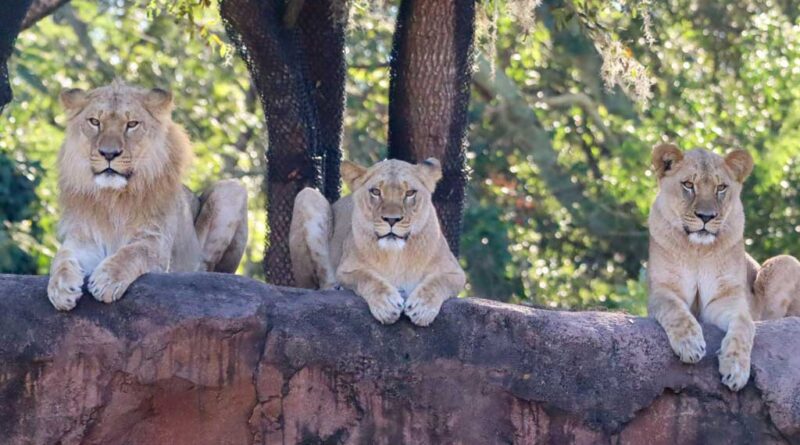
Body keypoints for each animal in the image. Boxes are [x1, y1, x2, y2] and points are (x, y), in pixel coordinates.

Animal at [47, 80, 247, 308]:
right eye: (95, 122)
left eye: (132, 124)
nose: (109, 153)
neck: (113, 198)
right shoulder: (83, 239)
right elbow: (61, 258)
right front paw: (61, 288)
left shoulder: (155, 241)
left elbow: (133, 252)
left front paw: (107, 280)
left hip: (231, 189)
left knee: (208, 267)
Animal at [290, 158, 466, 324]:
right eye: (376, 191)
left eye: (410, 193)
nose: (391, 219)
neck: (396, 254)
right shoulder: (345, 270)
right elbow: (367, 277)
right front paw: (387, 304)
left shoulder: (456, 273)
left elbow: (438, 281)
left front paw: (422, 308)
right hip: (307, 195)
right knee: (321, 284)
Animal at [648, 142, 800, 388]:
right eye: (688, 184)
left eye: (721, 187)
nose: (706, 216)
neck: (697, 250)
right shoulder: (662, 290)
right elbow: (675, 310)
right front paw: (690, 345)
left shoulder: (726, 299)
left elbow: (744, 325)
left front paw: (735, 369)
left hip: (787, 262)